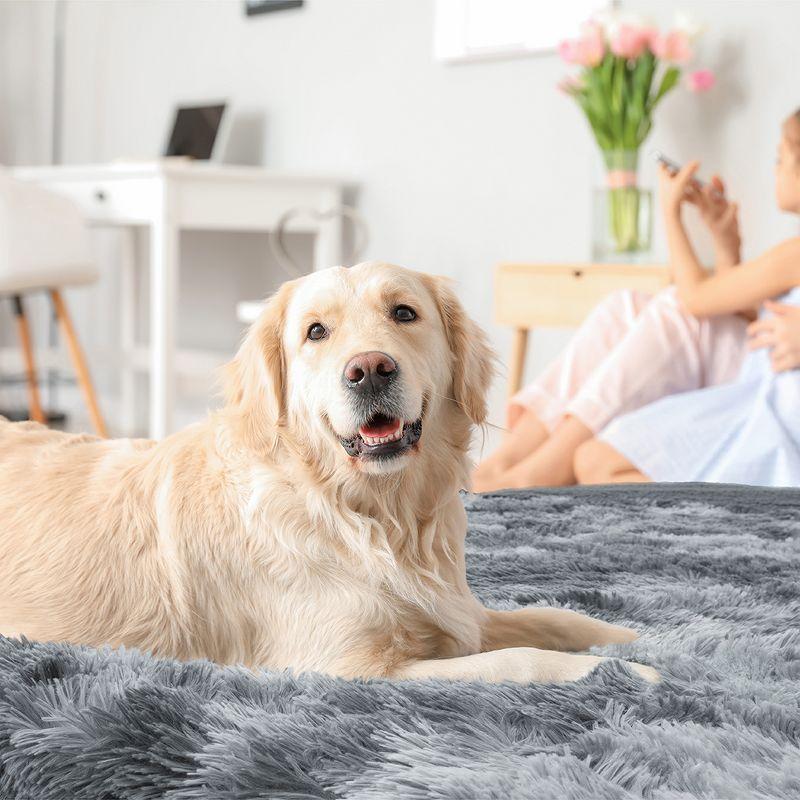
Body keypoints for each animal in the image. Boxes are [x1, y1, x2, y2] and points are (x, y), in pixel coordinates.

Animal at [0, 260, 656, 680]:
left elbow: (554, 617)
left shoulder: (459, 611)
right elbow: (519, 660)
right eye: (315, 331)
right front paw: (627, 675)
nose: (369, 370)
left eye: (404, 312)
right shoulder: (355, 667)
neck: (371, 514)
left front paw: (642, 639)